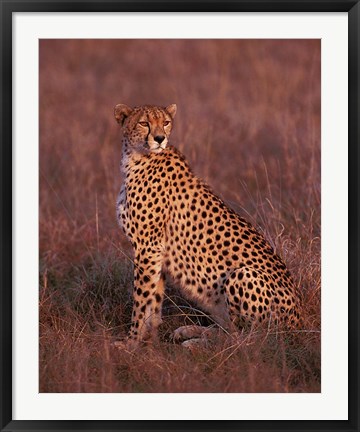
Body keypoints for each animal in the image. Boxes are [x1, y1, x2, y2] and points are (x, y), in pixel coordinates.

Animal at [114, 104, 300, 348]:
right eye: (144, 123)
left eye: (165, 122)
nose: (160, 138)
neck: (136, 158)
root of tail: (298, 322)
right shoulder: (156, 251)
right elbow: (154, 299)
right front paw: (150, 337)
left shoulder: (148, 247)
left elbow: (141, 299)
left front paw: (131, 342)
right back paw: (190, 331)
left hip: (243, 275)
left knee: (247, 340)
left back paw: (195, 342)